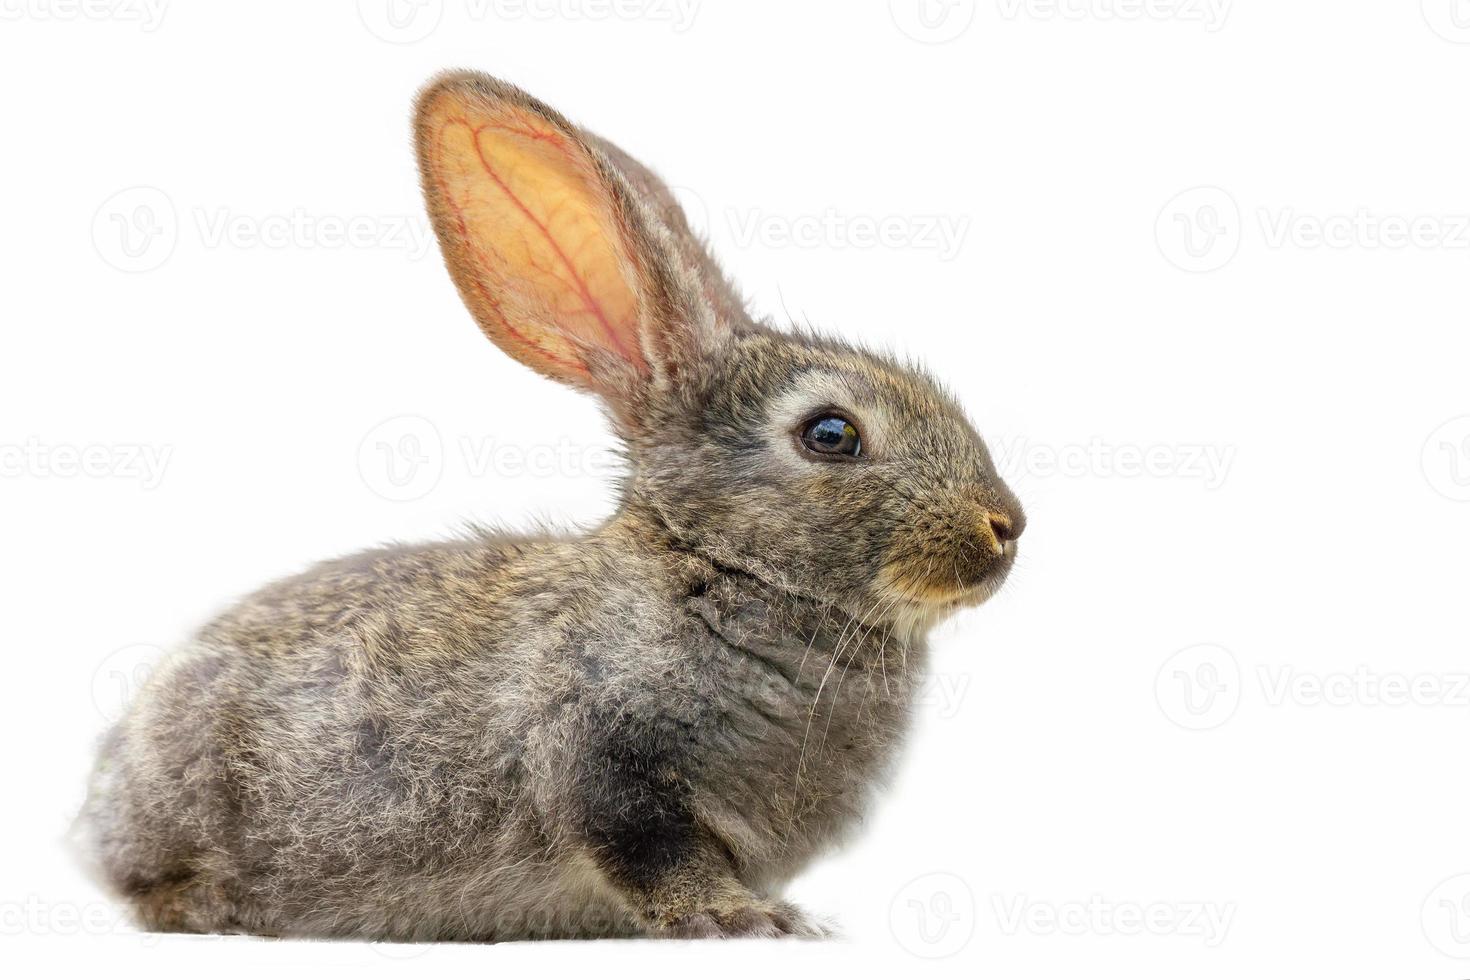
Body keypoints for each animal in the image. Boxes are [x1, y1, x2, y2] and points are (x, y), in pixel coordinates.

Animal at [77, 70, 1023, 940]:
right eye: (832, 434)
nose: (1007, 526)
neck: (717, 567)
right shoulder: (602, 759)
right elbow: (652, 856)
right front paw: (750, 920)